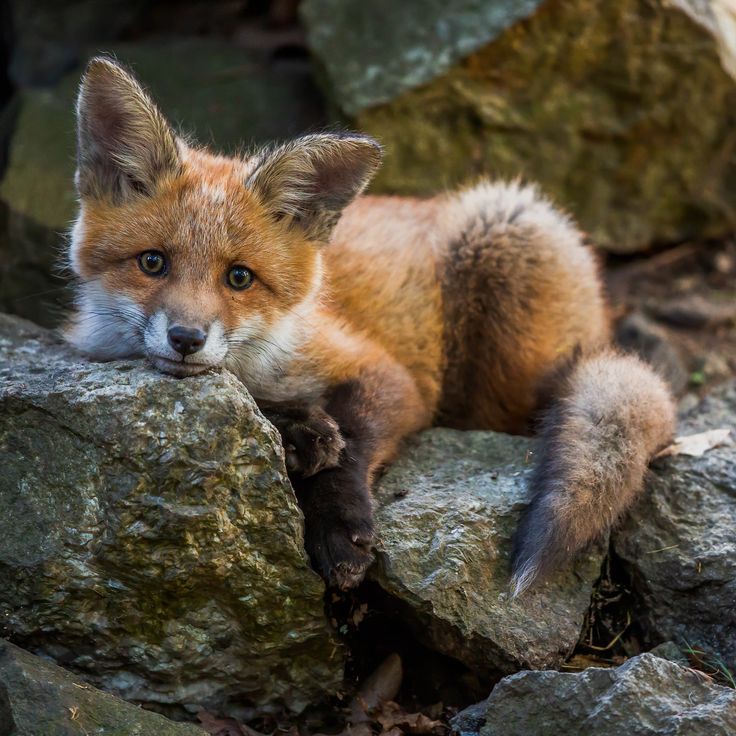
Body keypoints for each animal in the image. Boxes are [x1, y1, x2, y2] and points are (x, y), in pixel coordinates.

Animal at [66, 60, 676, 596]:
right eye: (152, 263)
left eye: (239, 277)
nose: (187, 340)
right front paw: (296, 430)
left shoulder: (392, 375)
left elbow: (353, 439)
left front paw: (337, 523)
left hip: (501, 270)